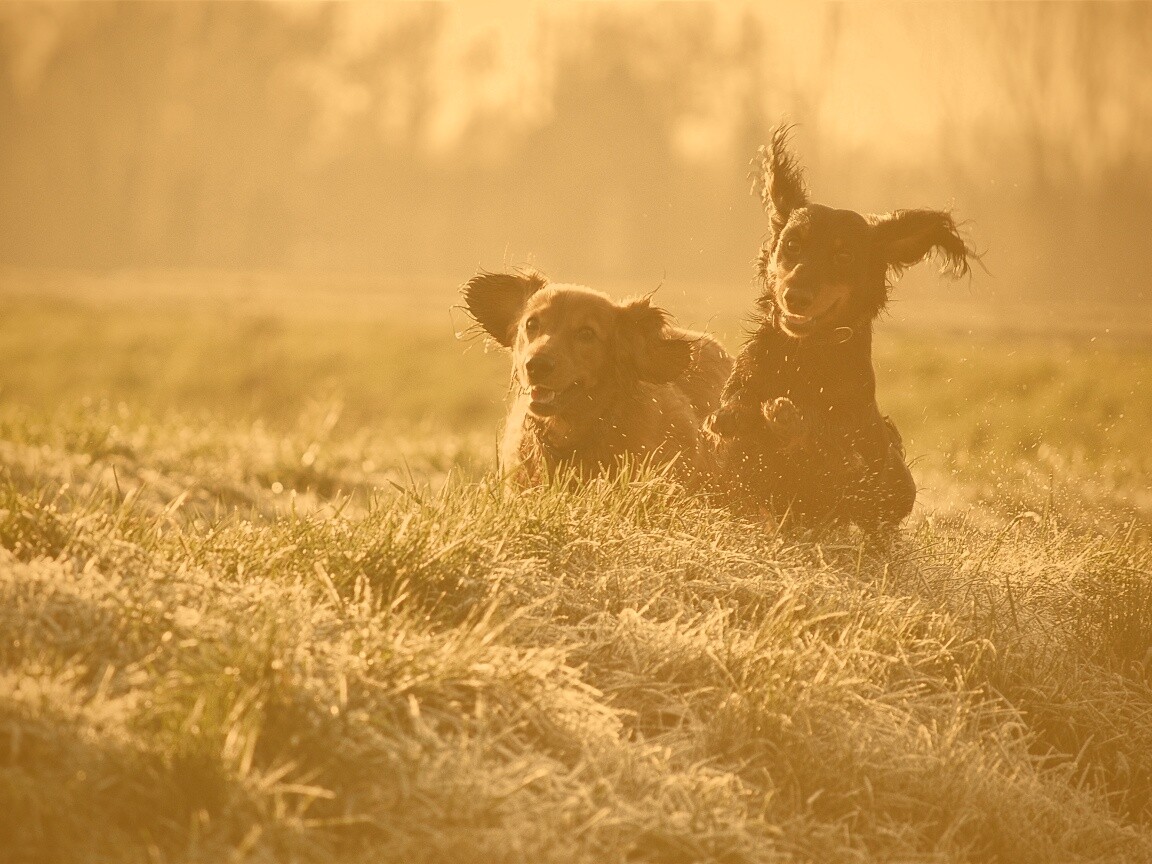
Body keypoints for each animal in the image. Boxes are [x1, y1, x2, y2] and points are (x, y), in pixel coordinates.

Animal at [709, 128, 972, 534]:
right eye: (792, 244)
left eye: (843, 256)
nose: (796, 297)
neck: (805, 353)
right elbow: (740, 410)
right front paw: (734, 414)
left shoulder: (851, 466)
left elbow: (828, 449)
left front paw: (788, 419)